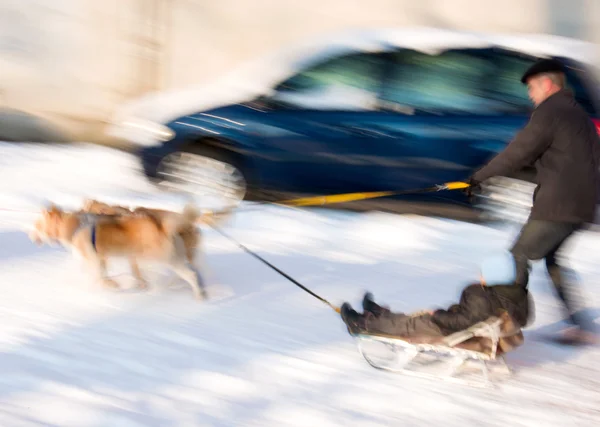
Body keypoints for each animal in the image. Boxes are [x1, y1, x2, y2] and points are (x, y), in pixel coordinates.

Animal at [31, 202, 213, 300]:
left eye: (37, 225)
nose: (30, 235)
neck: (75, 226)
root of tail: (165, 228)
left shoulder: (95, 260)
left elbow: (100, 278)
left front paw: (110, 286)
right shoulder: (101, 259)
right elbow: (103, 275)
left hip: (168, 260)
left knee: (191, 275)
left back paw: (198, 295)